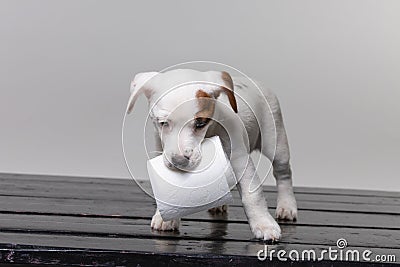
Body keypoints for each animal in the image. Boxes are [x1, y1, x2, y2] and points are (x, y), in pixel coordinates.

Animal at [128, 68, 296, 241]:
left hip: (276, 142)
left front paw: (264, 224)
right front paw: (165, 218)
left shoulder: (240, 160)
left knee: (283, 173)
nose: (179, 160)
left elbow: (253, 195)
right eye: (162, 122)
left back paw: (287, 206)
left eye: (201, 123)